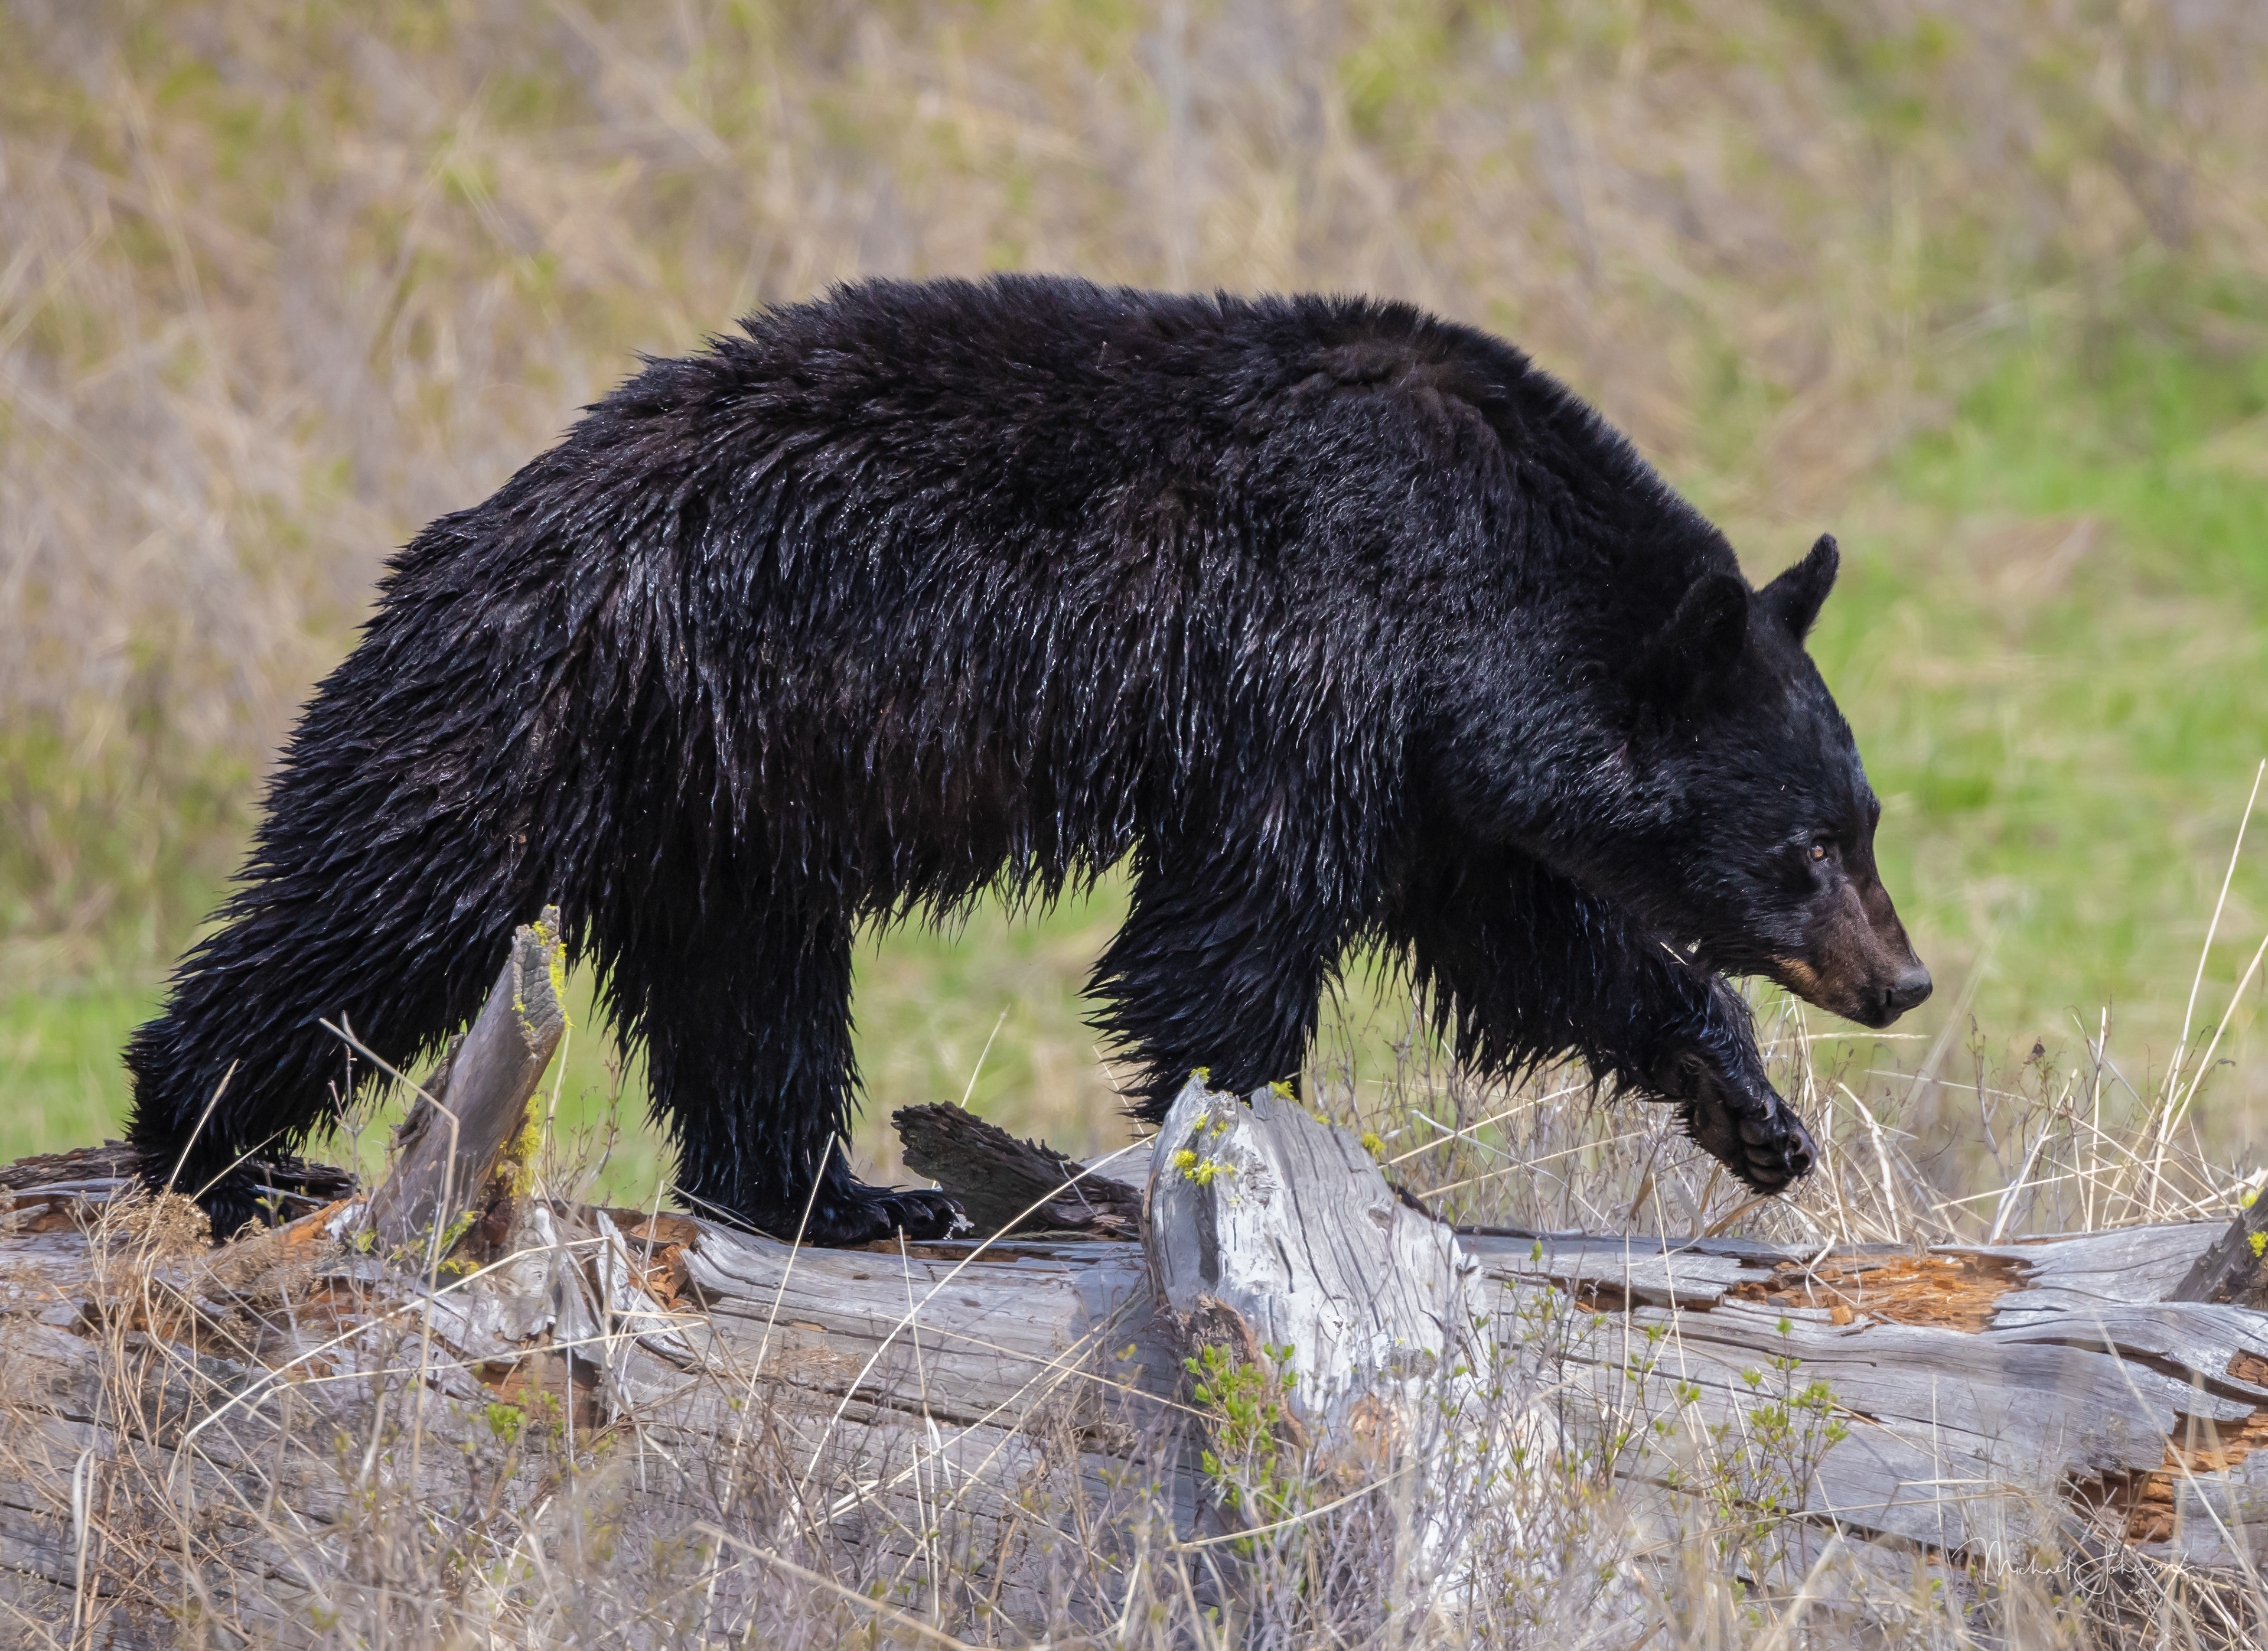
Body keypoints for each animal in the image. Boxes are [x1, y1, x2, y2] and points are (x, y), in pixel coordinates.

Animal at [125, 274, 1930, 1245]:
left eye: (1862, 822)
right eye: (1804, 849)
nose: (1901, 979)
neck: (1477, 573)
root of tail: (479, 531)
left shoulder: (1430, 768)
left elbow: (1532, 939)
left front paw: (1751, 1109)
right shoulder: (1308, 657)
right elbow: (1233, 930)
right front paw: (1266, 1151)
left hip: (721, 799)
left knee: (751, 994)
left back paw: (841, 1195)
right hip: (538, 706)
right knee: (373, 905)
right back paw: (215, 1149)